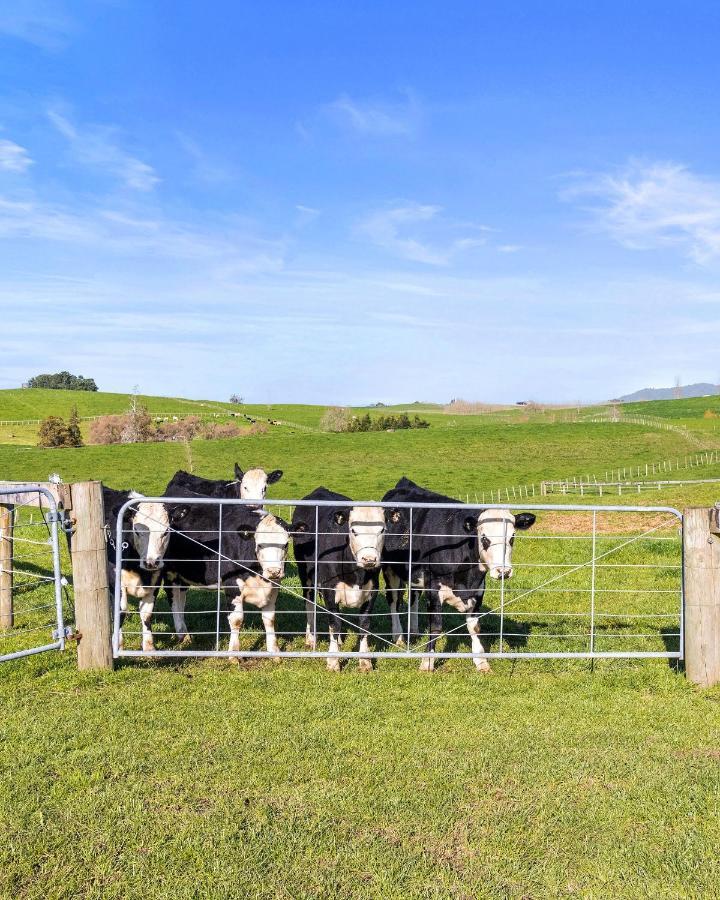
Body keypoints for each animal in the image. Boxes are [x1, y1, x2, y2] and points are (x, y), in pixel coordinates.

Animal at [102, 488, 172, 652]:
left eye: (166, 531)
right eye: (137, 531)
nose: (151, 562)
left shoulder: (155, 580)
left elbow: (146, 613)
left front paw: (149, 646)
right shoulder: (115, 577)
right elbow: (120, 611)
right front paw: (117, 644)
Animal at [162, 488, 292, 656]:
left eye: (286, 544)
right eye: (259, 544)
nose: (274, 571)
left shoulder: (273, 587)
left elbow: (269, 619)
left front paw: (274, 652)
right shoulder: (232, 586)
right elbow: (237, 620)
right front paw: (234, 654)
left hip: (184, 573)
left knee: (180, 598)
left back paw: (185, 635)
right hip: (169, 571)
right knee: (172, 599)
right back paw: (181, 634)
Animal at [290, 488, 386, 672]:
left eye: (382, 530)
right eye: (353, 530)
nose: (369, 559)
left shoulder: (373, 590)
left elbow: (364, 624)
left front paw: (365, 661)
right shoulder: (328, 588)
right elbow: (334, 623)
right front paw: (333, 661)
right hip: (305, 574)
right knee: (309, 604)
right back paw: (310, 638)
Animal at [382, 478, 536, 668]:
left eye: (512, 537)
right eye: (484, 538)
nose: (503, 571)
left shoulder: (478, 589)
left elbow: (474, 627)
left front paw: (481, 661)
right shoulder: (434, 589)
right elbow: (435, 627)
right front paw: (427, 662)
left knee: (413, 596)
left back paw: (414, 631)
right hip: (389, 569)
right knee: (393, 600)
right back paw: (399, 637)